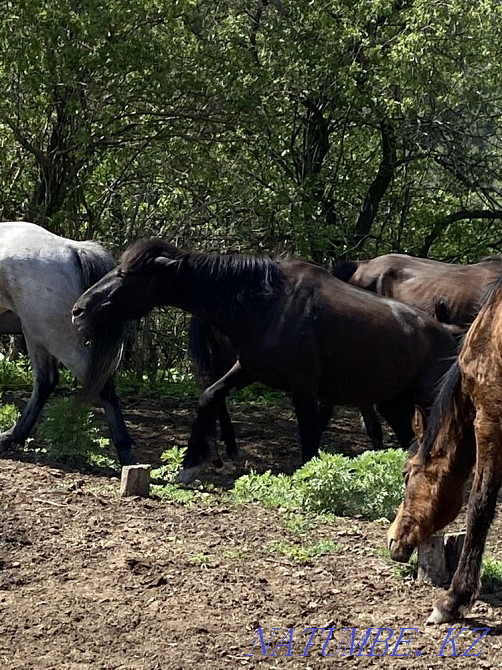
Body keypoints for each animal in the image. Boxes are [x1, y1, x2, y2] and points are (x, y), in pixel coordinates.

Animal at [0, 221, 135, 465]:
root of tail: (72, 248)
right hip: (35, 331)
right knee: (46, 381)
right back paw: (10, 437)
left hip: (52, 335)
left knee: (98, 382)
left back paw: (126, 453)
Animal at [72, 239, 457, 482]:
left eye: (126, 275)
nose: (79, 310)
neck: (268, 302)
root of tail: (449, 335)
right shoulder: (247, 369)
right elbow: (208, 396)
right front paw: (191, 464)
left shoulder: (304, 389)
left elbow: (308, 440)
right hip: (393, 404)